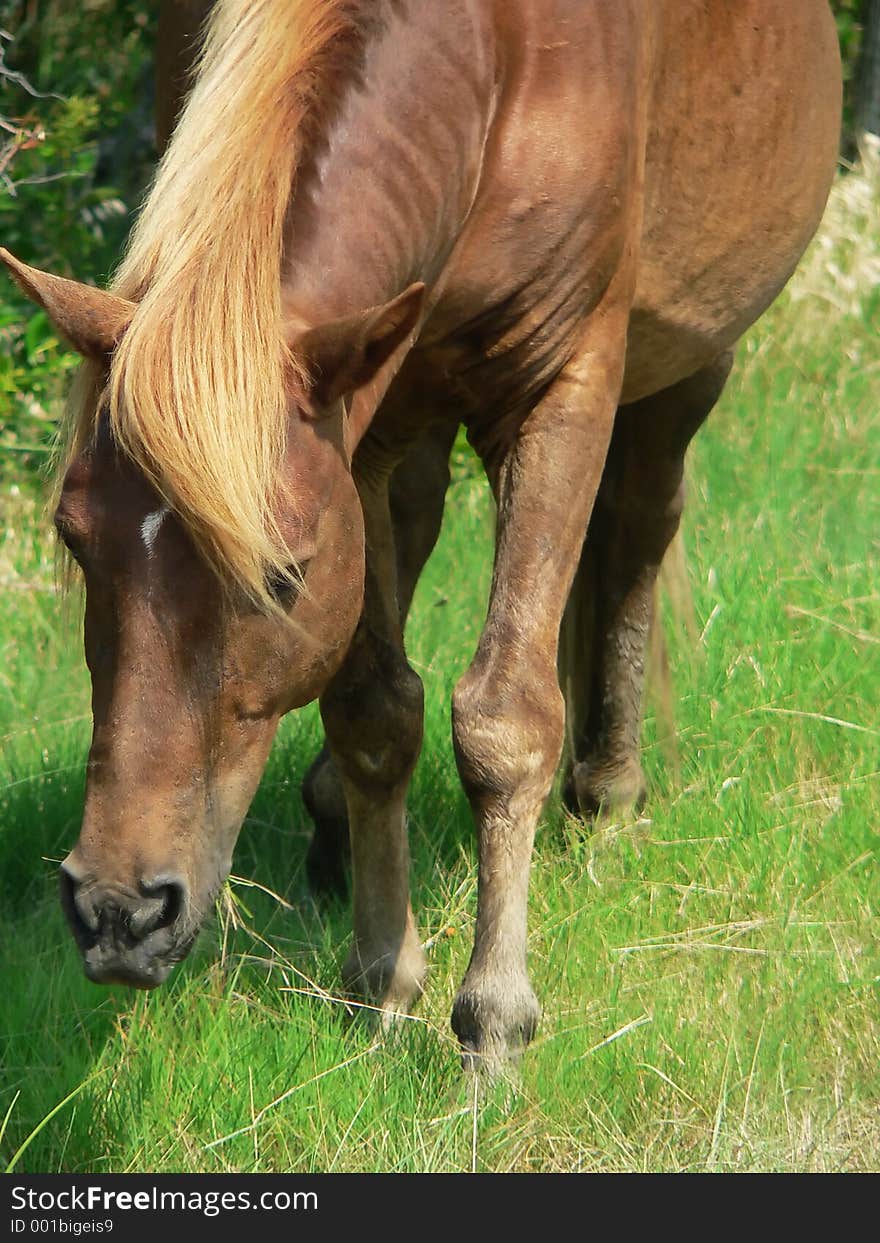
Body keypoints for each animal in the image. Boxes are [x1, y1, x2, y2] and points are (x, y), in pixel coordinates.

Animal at [0, 0, 840, 1068]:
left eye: (281, 576)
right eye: (74, 539)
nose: (117, 911)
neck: (497, 60)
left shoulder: (564, 386)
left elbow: (505, 717)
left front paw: (494, 1022)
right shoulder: (370, 421)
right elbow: (374, 712)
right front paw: (380, 981)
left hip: (690, 358)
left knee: (640, 529)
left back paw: (609, 799)